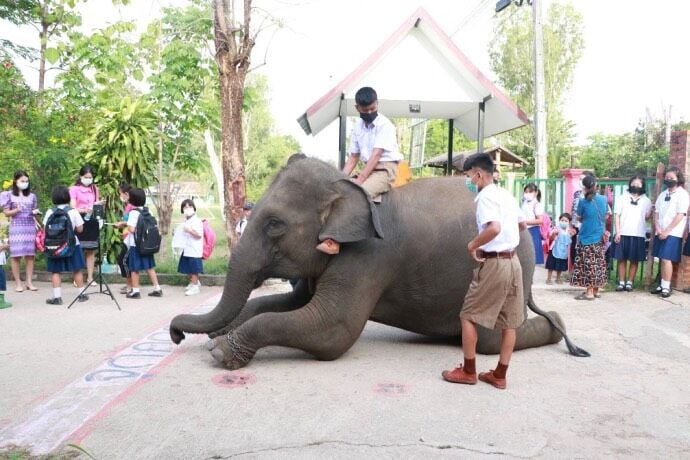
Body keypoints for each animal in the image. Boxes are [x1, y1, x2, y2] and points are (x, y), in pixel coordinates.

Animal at [169, 155, 584, 370]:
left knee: (489, 341)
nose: (174, 334)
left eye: (274, 225)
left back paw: (559, 324)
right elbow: (282, 305)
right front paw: (217, 337)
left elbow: (331, 330)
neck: (346, 186)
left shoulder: (367, 257)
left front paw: (220, 351)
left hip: (506, 273)